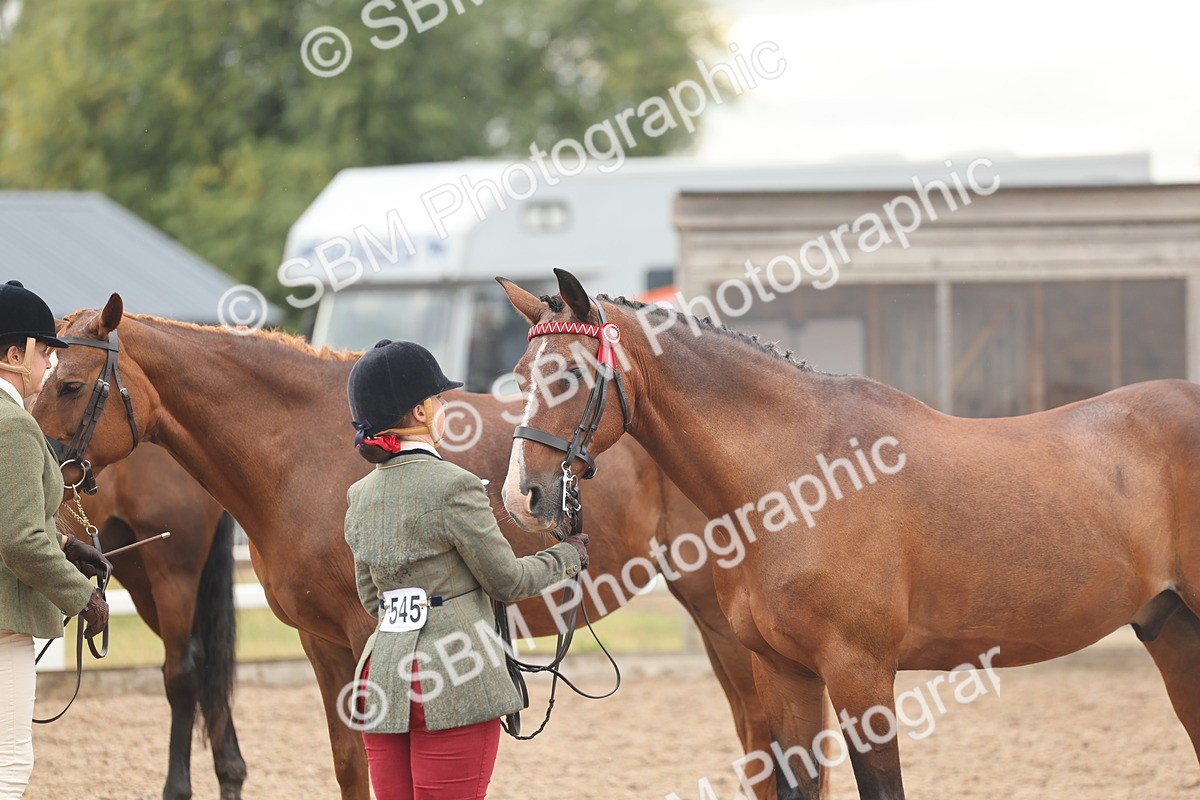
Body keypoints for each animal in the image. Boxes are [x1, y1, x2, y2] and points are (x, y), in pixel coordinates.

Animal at [55, 444, 246, 800]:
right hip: (136, 569)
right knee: (202, 664)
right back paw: (230, 773)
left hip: (173, 571)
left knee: (184, 671)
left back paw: (180, 786)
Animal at [498, 268, 1200, 800]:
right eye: (520, 375)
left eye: (567, 376)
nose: (521, 497)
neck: (799, 475)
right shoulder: (785, 674)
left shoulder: (860, 674)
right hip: (1172, 632)